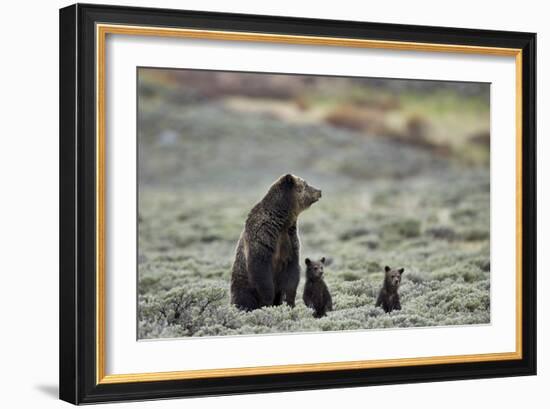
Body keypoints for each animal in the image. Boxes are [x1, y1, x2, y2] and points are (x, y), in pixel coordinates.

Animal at [230, 174, 324, 310]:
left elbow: (291, 274)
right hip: (241, 282)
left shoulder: (289, 241)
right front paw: (267, 301)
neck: (282, 222)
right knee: (243, 296)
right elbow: (262, 272)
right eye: (305, 184)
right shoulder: (263, 238)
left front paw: (288, 302)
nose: (319, 191)